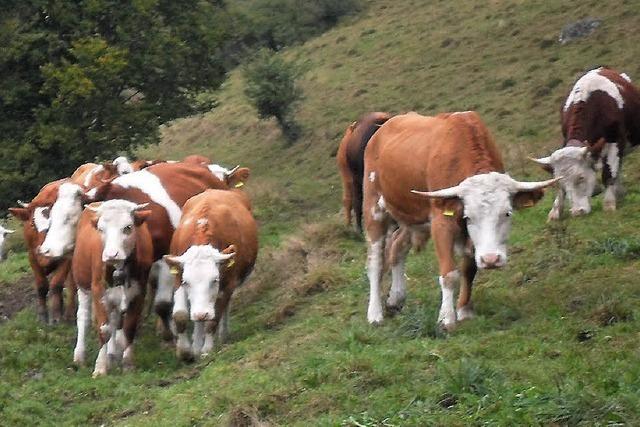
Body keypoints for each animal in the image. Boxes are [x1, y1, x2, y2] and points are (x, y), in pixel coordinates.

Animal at [71, 201, 154, 378]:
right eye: (101, 229)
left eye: (128, 227)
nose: (111, 254)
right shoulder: (98, 292)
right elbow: (104, 330)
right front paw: (100, 367)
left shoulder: (139, 293)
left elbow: (129, 327)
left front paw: (128, 364)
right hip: (82, 284)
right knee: (83, 317)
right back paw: (79, 356)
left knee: (115, 319)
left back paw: (112, 354)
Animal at [162, 191, 258, 362]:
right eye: (186, 282)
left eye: (214, 280)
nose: (201, 314)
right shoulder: (178, 277)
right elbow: (180, 315)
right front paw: (185, 351)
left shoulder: (227, 284)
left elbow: (213, 320)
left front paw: (207, 349)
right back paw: (196, 344)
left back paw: (222, 335)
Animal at [362, 112, 556, 330]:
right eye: (468, 216)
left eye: (507, 213)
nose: (491, 259)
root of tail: (383, 127)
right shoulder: (441, 223)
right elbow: (449, 274)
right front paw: (446, 318)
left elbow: (469, 269)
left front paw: (464, 310)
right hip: (374, 208)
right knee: (376, 262)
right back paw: (375, 313)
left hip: (412, 218)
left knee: (397, 247)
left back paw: (395, 298)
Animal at [528, 69, 640, 221]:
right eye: (560, 182)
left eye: (580, 177)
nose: (577, 212)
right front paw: (555, 211)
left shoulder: (615, 141)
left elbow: (608, 174)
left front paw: (609, 204)